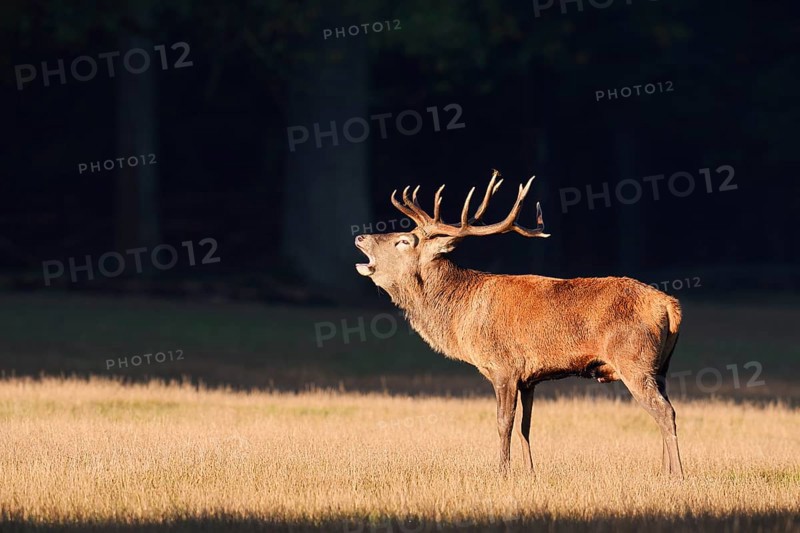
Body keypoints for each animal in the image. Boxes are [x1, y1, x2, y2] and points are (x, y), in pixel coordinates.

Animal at [354, 170, 684, 479]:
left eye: (403, 241)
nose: (360, 237)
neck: (462, 315)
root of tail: (670, 305)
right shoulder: (530, 378)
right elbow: (526, 425)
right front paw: (530, 472)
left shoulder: (504, 366)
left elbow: (504, 422)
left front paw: (502, 471)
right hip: (660, 366)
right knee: (665, 407)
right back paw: (664, 471)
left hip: (632, 359)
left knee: (663, 410)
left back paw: (678, 475)